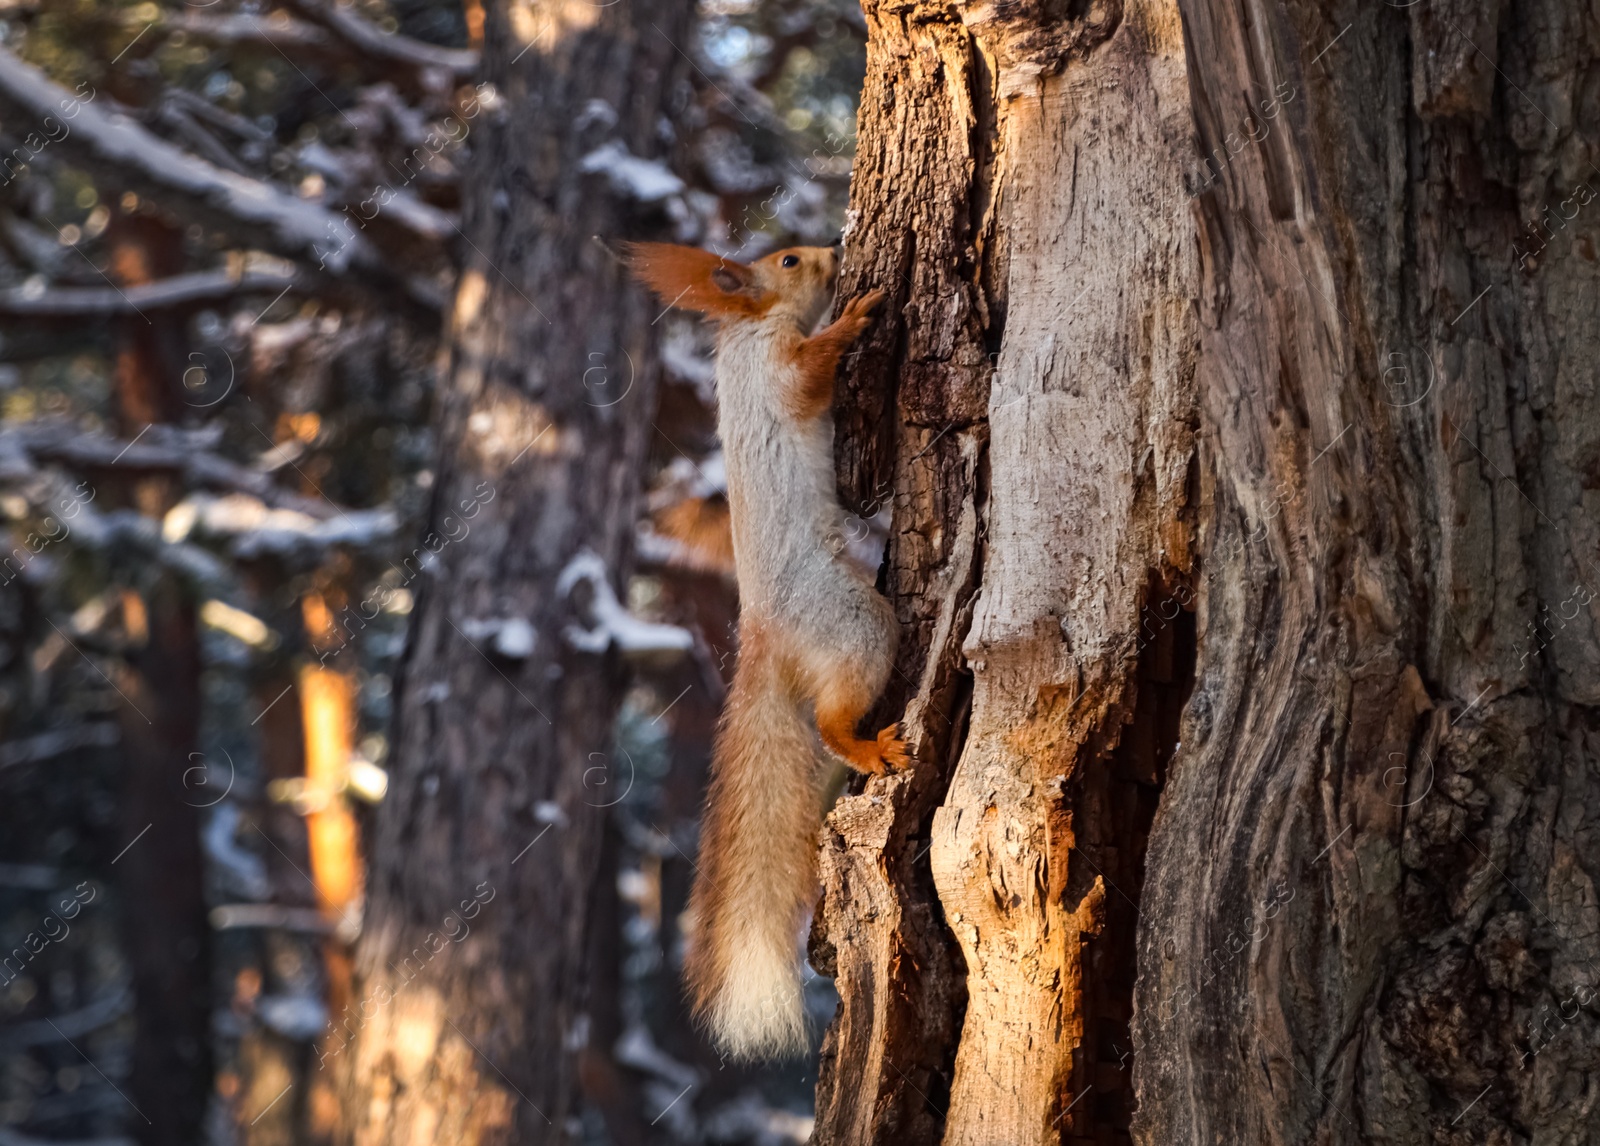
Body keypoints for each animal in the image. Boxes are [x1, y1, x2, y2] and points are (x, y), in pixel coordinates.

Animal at [624, 243, 908, 1062]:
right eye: (786, 259)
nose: (834, 251)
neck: (747, 329)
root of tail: (764, 642)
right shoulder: (780, 371)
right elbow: (814, 371)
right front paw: (855, 315)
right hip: (856, 625)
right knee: (830, 722)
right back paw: (866, 744)